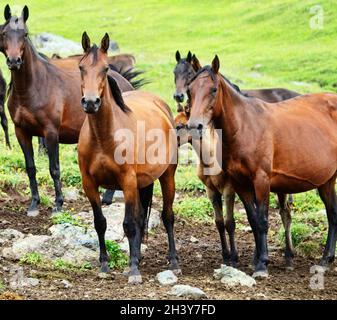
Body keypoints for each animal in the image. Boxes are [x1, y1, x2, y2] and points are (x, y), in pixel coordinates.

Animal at [0, 5, 140, 215]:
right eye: (4, 33)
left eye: (25, 34)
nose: (14, 61)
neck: (34, 87)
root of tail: (126, 82)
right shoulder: (21, 131)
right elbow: (30, 167)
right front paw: (34, 204)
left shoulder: (51, 133)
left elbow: (54, 168)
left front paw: (58, 204)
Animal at [78, 31, 178, 282]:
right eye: (81, 67)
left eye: (105, 69)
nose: (91, 102)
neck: (103, 137)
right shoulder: (89, 184)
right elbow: (100, 222)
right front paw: (105, 265)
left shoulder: (127, 182)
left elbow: (129, 224)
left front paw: (133, 269)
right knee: (142, 217)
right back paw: (139, 256)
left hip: (167, 176)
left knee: (167, 216)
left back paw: (173, 261)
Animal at [186, 54, 337, 278]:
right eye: (190, 90)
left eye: (213, 89)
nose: (194, 126)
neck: (245, 127)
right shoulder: (240, 184)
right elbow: (254, 221)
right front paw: (257, 261)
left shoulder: (261, 180)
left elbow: (263, 221)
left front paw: (262, 264)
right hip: (326, 181)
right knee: (333, 215)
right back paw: (326, 259)